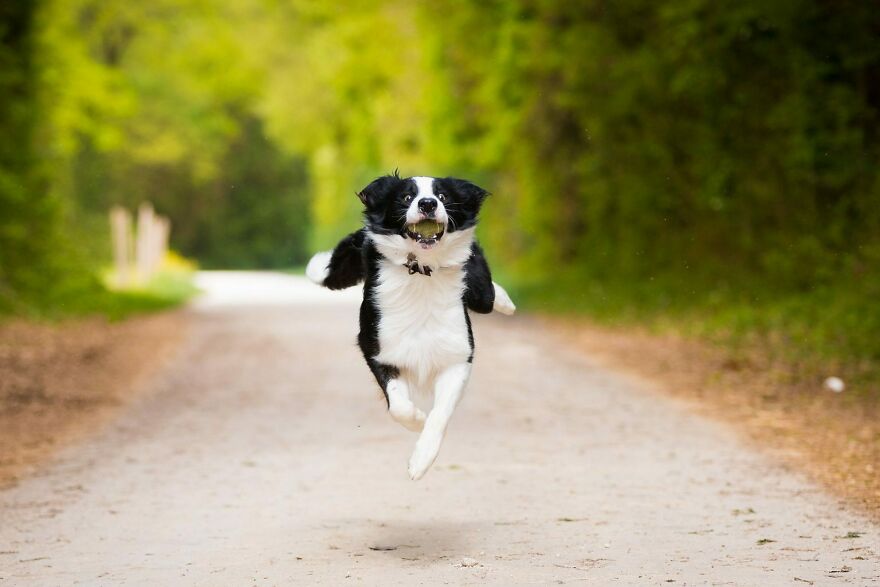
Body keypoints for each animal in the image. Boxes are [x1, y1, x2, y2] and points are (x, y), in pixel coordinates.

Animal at [308, 172, 516, 480]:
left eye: (442, 195)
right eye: (407, 196)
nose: (427, 203)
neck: (422, 272)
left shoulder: (457, 355)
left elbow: (440, 414)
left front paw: (421, 459)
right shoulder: (378, 347)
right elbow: (399, 406)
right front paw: (417, 419)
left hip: (479, 291)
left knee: (487, 295)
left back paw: (506, 301)